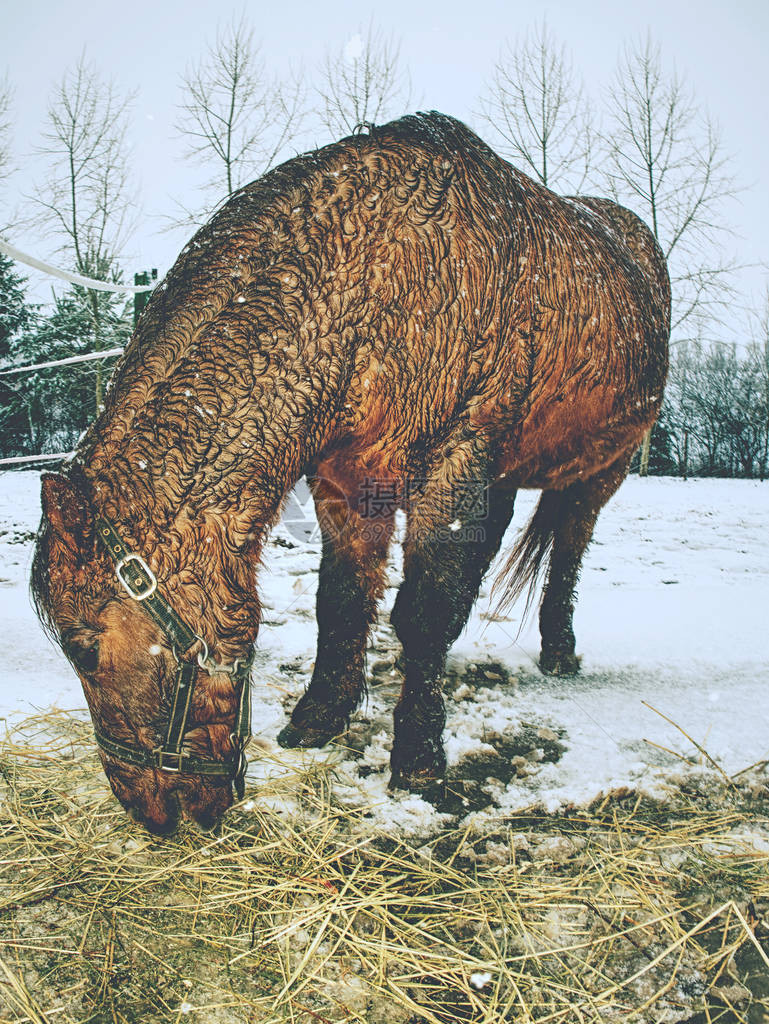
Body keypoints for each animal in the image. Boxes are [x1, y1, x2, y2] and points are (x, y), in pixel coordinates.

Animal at [30, 110, 671, 831]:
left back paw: (559, 650)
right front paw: (319, 718)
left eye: (83, 648)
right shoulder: (347, 483)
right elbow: (339, 601)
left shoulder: (451, 470)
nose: (156, 815)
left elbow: (423, 614)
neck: (380, 278)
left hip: (602, 472)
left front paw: (419, 760)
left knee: (567, 549)